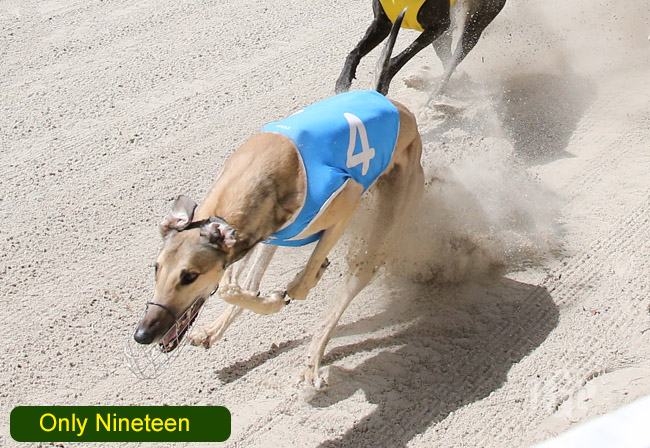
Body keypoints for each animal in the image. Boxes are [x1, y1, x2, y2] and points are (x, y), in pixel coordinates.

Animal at [132, 11, 424, 388]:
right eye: (156, 268)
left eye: (189, 276)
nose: (142, 334)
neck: (254, 173)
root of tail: (391, 102)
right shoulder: (263, 237)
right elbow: (233, 287)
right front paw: (265, 300)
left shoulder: (345, 201)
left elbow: (295, 286)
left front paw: (292, 289)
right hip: (281, 238)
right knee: (247, 285)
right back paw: (214, 331)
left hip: (380, 231)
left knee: (349, 285)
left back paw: (312, 366)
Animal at [336, 0, 507, 95]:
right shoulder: (382, 23)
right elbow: (355, 52)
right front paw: (343, 81)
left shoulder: (439, 25)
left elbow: (400, 57)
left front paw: (383, 79)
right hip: (442, 39)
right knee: (448, 59)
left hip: (474, 26)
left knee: (456, 56)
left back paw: (437, 92)